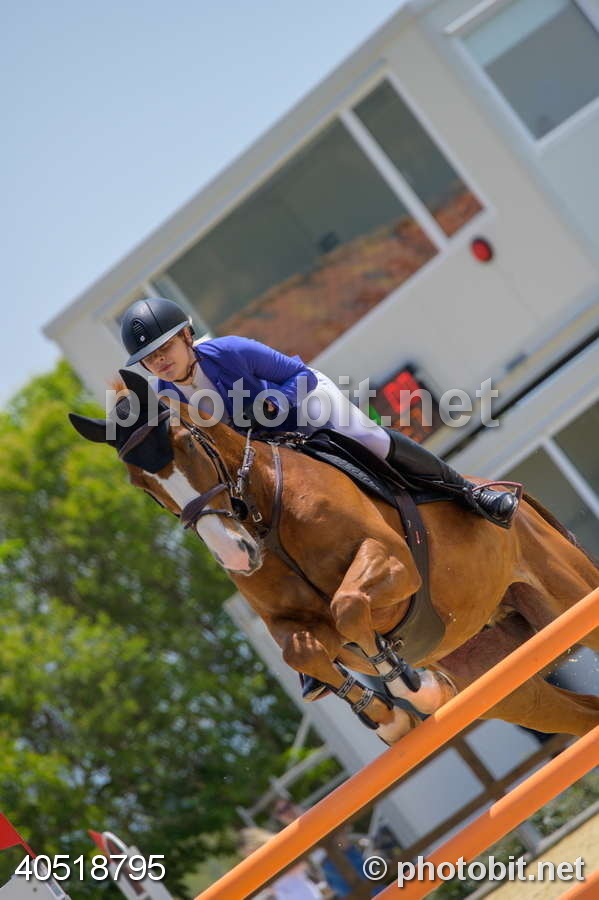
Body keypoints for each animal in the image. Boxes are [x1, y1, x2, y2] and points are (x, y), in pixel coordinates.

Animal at [69, 369, 599, 745]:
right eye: (143, 486)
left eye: (185, 445)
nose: (236, 557)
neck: (265, 515)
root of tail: (519, 501)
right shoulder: (297, 626)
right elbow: (303, 650)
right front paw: (389, 718)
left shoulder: (393, 566)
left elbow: (349, 607)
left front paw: (414, 686)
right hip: (511, 679)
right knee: (578, 716)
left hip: (567, 595)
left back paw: (489, 502)